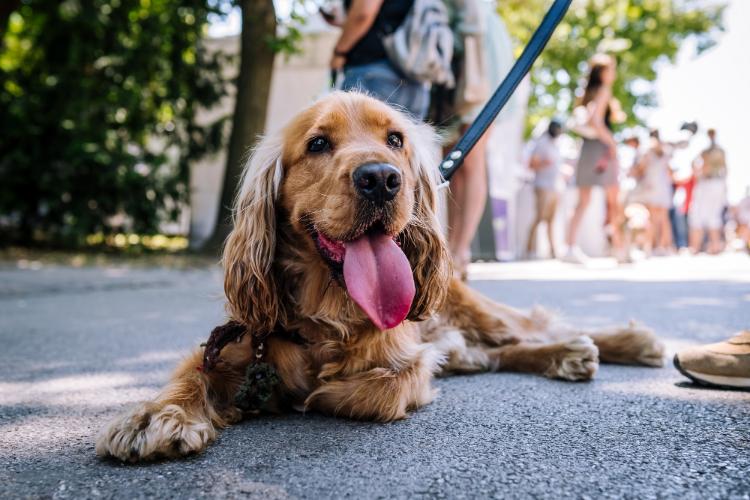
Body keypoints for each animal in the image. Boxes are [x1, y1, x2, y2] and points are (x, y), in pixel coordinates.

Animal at [97, 93, 668, 460]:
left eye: (395, 140)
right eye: (318, 144)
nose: (381, 178)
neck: (327, 308)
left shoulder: (405, 359)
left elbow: (369, 390)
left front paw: (309, 393)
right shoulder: (229, 344)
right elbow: (189, 374)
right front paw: (155, 417)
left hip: (474, 309)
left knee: (532, 328)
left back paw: (621, 342)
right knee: (498, 352)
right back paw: (563, 356)